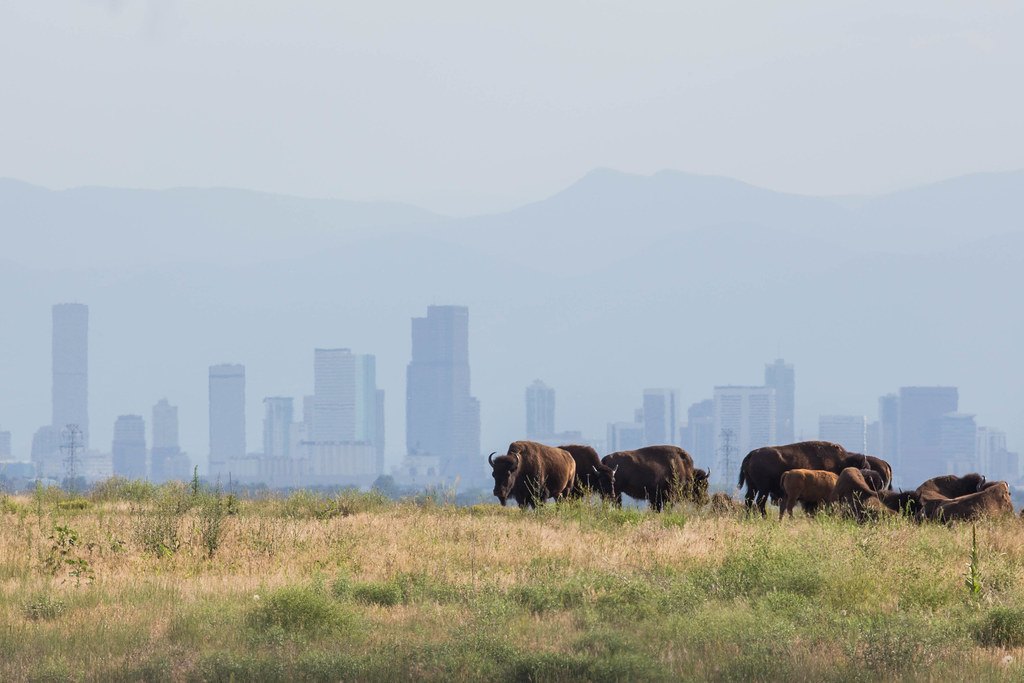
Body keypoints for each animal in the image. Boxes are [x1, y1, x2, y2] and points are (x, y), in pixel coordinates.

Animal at [737, 440, 888, 516]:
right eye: (867, 477)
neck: (842, 461)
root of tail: (752, 454)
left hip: (753, 487)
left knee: (749, 501)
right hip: (763, 489)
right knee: (759, 503)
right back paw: (763, 518)